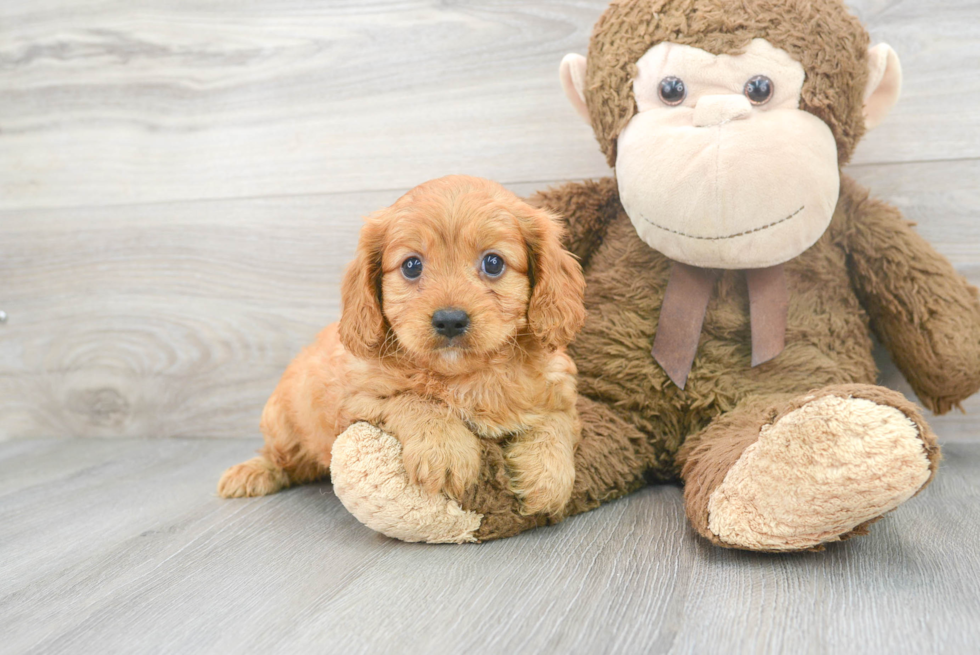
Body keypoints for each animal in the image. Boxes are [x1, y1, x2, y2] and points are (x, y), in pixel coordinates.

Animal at [218, 177, 584, 516]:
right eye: (411, 266)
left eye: (493, 263)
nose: (450, 320)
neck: (464, 376)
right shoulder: (355, 401)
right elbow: (415, 400)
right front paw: (446, 450)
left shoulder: (560, 390)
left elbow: (556, 424)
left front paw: (549, 480)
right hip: (281, 423)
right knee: (281, 458)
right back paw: (250, 473)